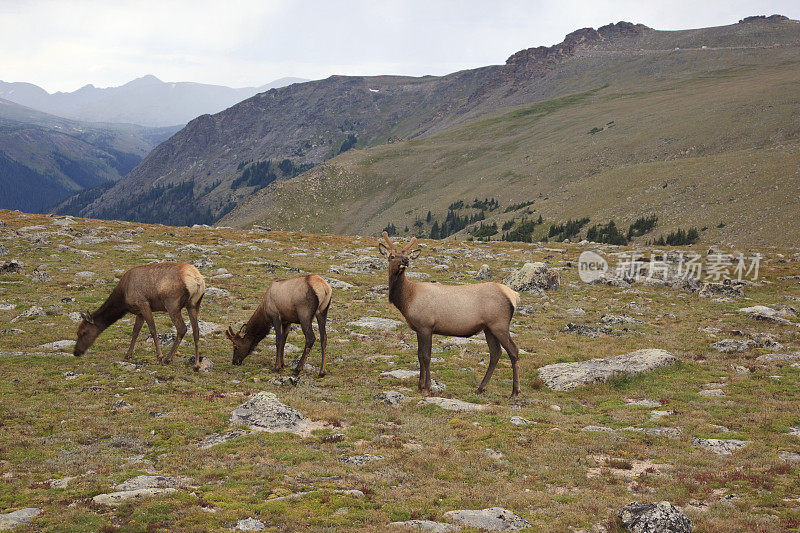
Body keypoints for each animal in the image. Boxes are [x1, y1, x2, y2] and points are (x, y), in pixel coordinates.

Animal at [73, 260, 206, 368]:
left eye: (83, 332)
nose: (76, 352)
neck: (123, 299)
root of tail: (197, 280)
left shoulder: (143, 303)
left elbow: (152, 329)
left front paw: (159, 357)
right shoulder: (139, 312)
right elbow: (135, 332)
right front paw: (128, 355)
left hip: (172, 304)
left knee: (182, 328)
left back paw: (168, 359)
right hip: (193, 305)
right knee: (196, 330)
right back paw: (196, 364)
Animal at [378, 232, 520, 394]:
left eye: (406, 254)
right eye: (392, 256)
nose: (405, 260)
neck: (408, 299)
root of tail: (514, 295)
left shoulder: (426, 326)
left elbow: (426, 356)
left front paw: (427, 388)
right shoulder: (419, 328)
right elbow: (419, 355)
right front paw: (420, 386)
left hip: (499, 324)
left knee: (513, 351)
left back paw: (514, 392)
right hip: (488, 328)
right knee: (496, 353)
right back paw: (481, 388)